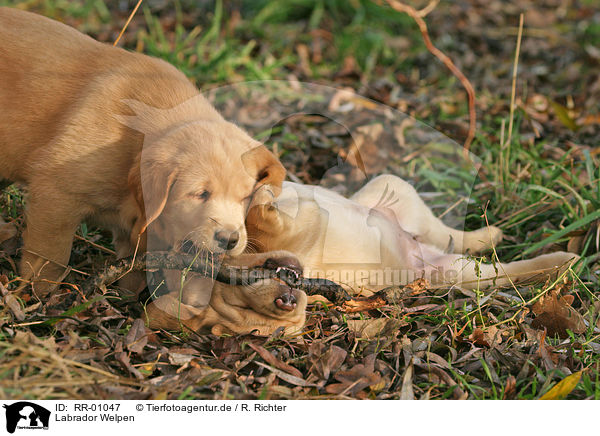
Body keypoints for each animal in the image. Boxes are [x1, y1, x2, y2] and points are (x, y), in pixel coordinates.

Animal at [0, 7, 284, 292]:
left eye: (245, 197)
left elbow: (136, 267)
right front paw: (39, 291)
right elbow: (50, 255)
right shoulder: (55, 192)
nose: (229, 239)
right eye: (200, 194)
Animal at [246, 175, 580, 292]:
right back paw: (560, 263)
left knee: (448, 234)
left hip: (393, 188)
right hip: (454, 271)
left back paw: (489, 235)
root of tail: (419, 253)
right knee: (503, 272)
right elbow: (262, 224)